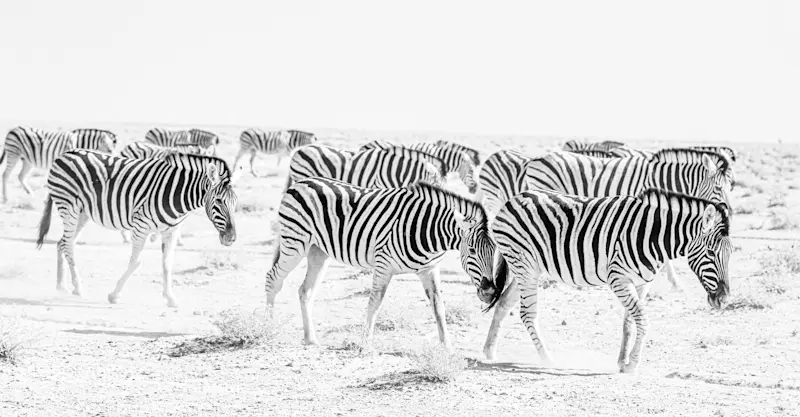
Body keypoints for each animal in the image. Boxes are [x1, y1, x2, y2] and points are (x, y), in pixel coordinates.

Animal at [35, 149, 238, 307]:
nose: (231, 238)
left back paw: (61, 286)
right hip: (68, 205)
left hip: (82, 213)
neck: (176, 195)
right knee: (68, 244)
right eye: (219, 201)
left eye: (236, 203)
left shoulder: (171, 231)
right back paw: (78, 287)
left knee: (62, 243)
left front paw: (170, 298)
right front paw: (114, 295)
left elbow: (167, 264)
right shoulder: (141, 226)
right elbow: (136, 262)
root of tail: (64, 154)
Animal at [264, 177, 498, 348]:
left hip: (318, 251)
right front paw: (365, 342)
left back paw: (311, 339)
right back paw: (268, 328)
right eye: (472, 250)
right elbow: (375, 302)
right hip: (295, 242)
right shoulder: (383, 264)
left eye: (496, 252)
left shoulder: (429, 270)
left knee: (305, 291)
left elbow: (438, 307)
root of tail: (299, 182)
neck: (426, 230)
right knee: (273, 279)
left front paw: (446, 346)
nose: (489, 292)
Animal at [485, 188, 731, 373]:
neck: (653, 235)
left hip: (528, 269)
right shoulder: (618, 278)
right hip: (524, 265)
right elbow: (642, 319)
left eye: (730, 254)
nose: (724, 300)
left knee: (504, 304)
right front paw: (633, 364)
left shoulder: (642, 282)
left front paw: (622, 362)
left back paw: (489, 351)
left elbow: (629, 322)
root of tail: (512, 200)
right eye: (710, 253)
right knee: (527, 313)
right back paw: (547, 358)